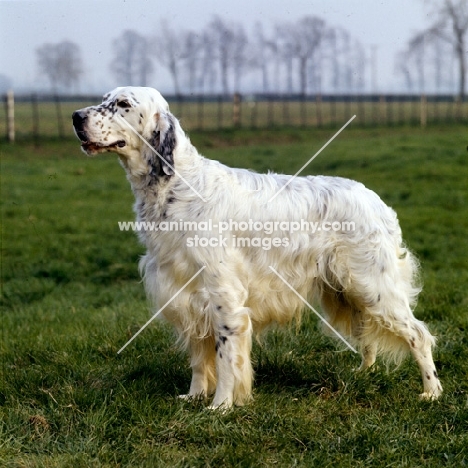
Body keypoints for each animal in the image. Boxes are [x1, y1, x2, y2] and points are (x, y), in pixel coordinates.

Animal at [73, 86, 442, 408]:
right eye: (104, 98)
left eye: (122, 103)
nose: (75, 116)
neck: (176, 186)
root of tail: (375, 199)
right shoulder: (186, 295)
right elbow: (199, 358)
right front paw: (194, 396)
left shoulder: (224, 297)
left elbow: (225, 359)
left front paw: (220, 406)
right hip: (347, 290)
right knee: (367, 335)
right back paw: (364, 373)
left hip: (374, 285)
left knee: (418, 334)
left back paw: (431, 392)